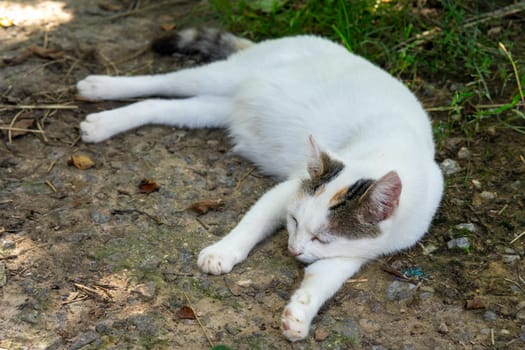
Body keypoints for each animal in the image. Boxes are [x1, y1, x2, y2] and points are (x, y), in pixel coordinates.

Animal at [75, 28, 442, 342]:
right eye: (293, 221)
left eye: (321, 238)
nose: (293, 250)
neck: (390, 154)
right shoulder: (285, 191)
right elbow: (252, 223)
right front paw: (222, 252)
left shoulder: (352, 253)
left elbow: (322, 281)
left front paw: (299, 316)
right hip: (223, 76)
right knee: (164, 82)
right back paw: (98, 92)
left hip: (214, 108)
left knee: (162, 105)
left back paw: (104, 121)